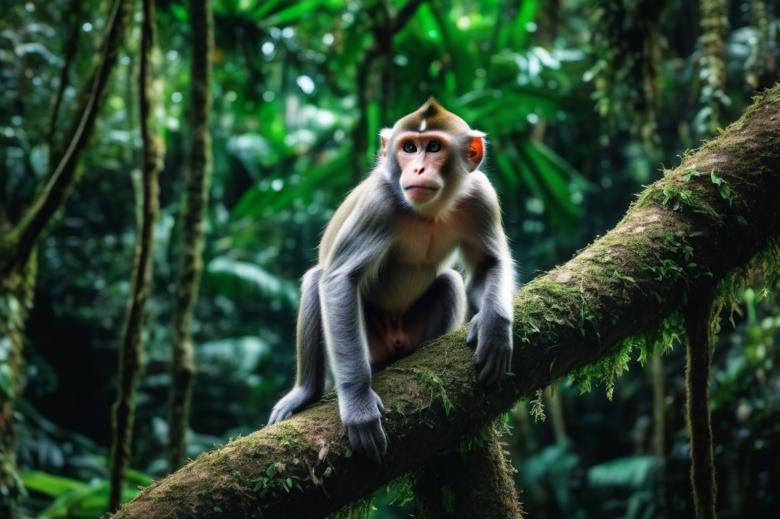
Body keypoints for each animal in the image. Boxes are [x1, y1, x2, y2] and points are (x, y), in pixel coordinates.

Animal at [268, 98, 516, 463]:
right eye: (409, 148)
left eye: (434, 147)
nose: (418, 170)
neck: (428, 211)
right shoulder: (378, 204)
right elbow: (339, 280)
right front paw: (358, 406)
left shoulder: (480, 196)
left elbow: (489, 263)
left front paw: (494, 327)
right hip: (371, 345)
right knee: (318, 280)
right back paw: (305, 393)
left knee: (449, 282)